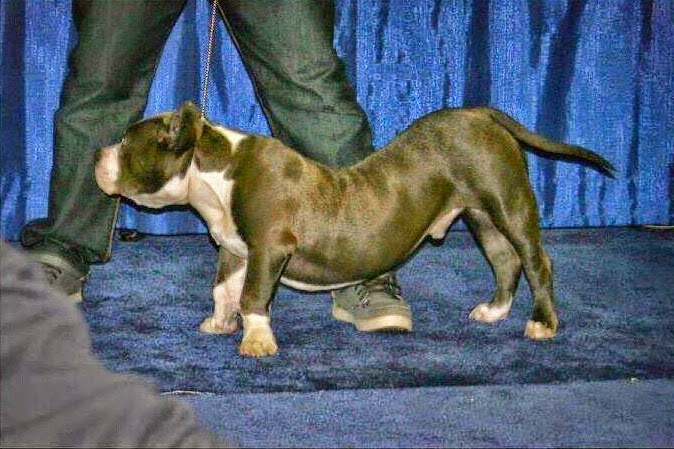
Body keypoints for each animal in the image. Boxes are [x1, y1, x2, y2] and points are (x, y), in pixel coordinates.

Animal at [95, 101, 614, 357]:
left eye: (124, 141)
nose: (98, 153)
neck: (212, 172)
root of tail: (478, 114)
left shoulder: (268, 248)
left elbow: (253, 297)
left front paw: (257, 342)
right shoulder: (233, 248)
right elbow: (224, 289)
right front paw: (221, 323)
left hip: (508, 202)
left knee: (536, 260)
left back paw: (542, 324)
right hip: (480, 214)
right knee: (505, 260)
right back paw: (494, 311)